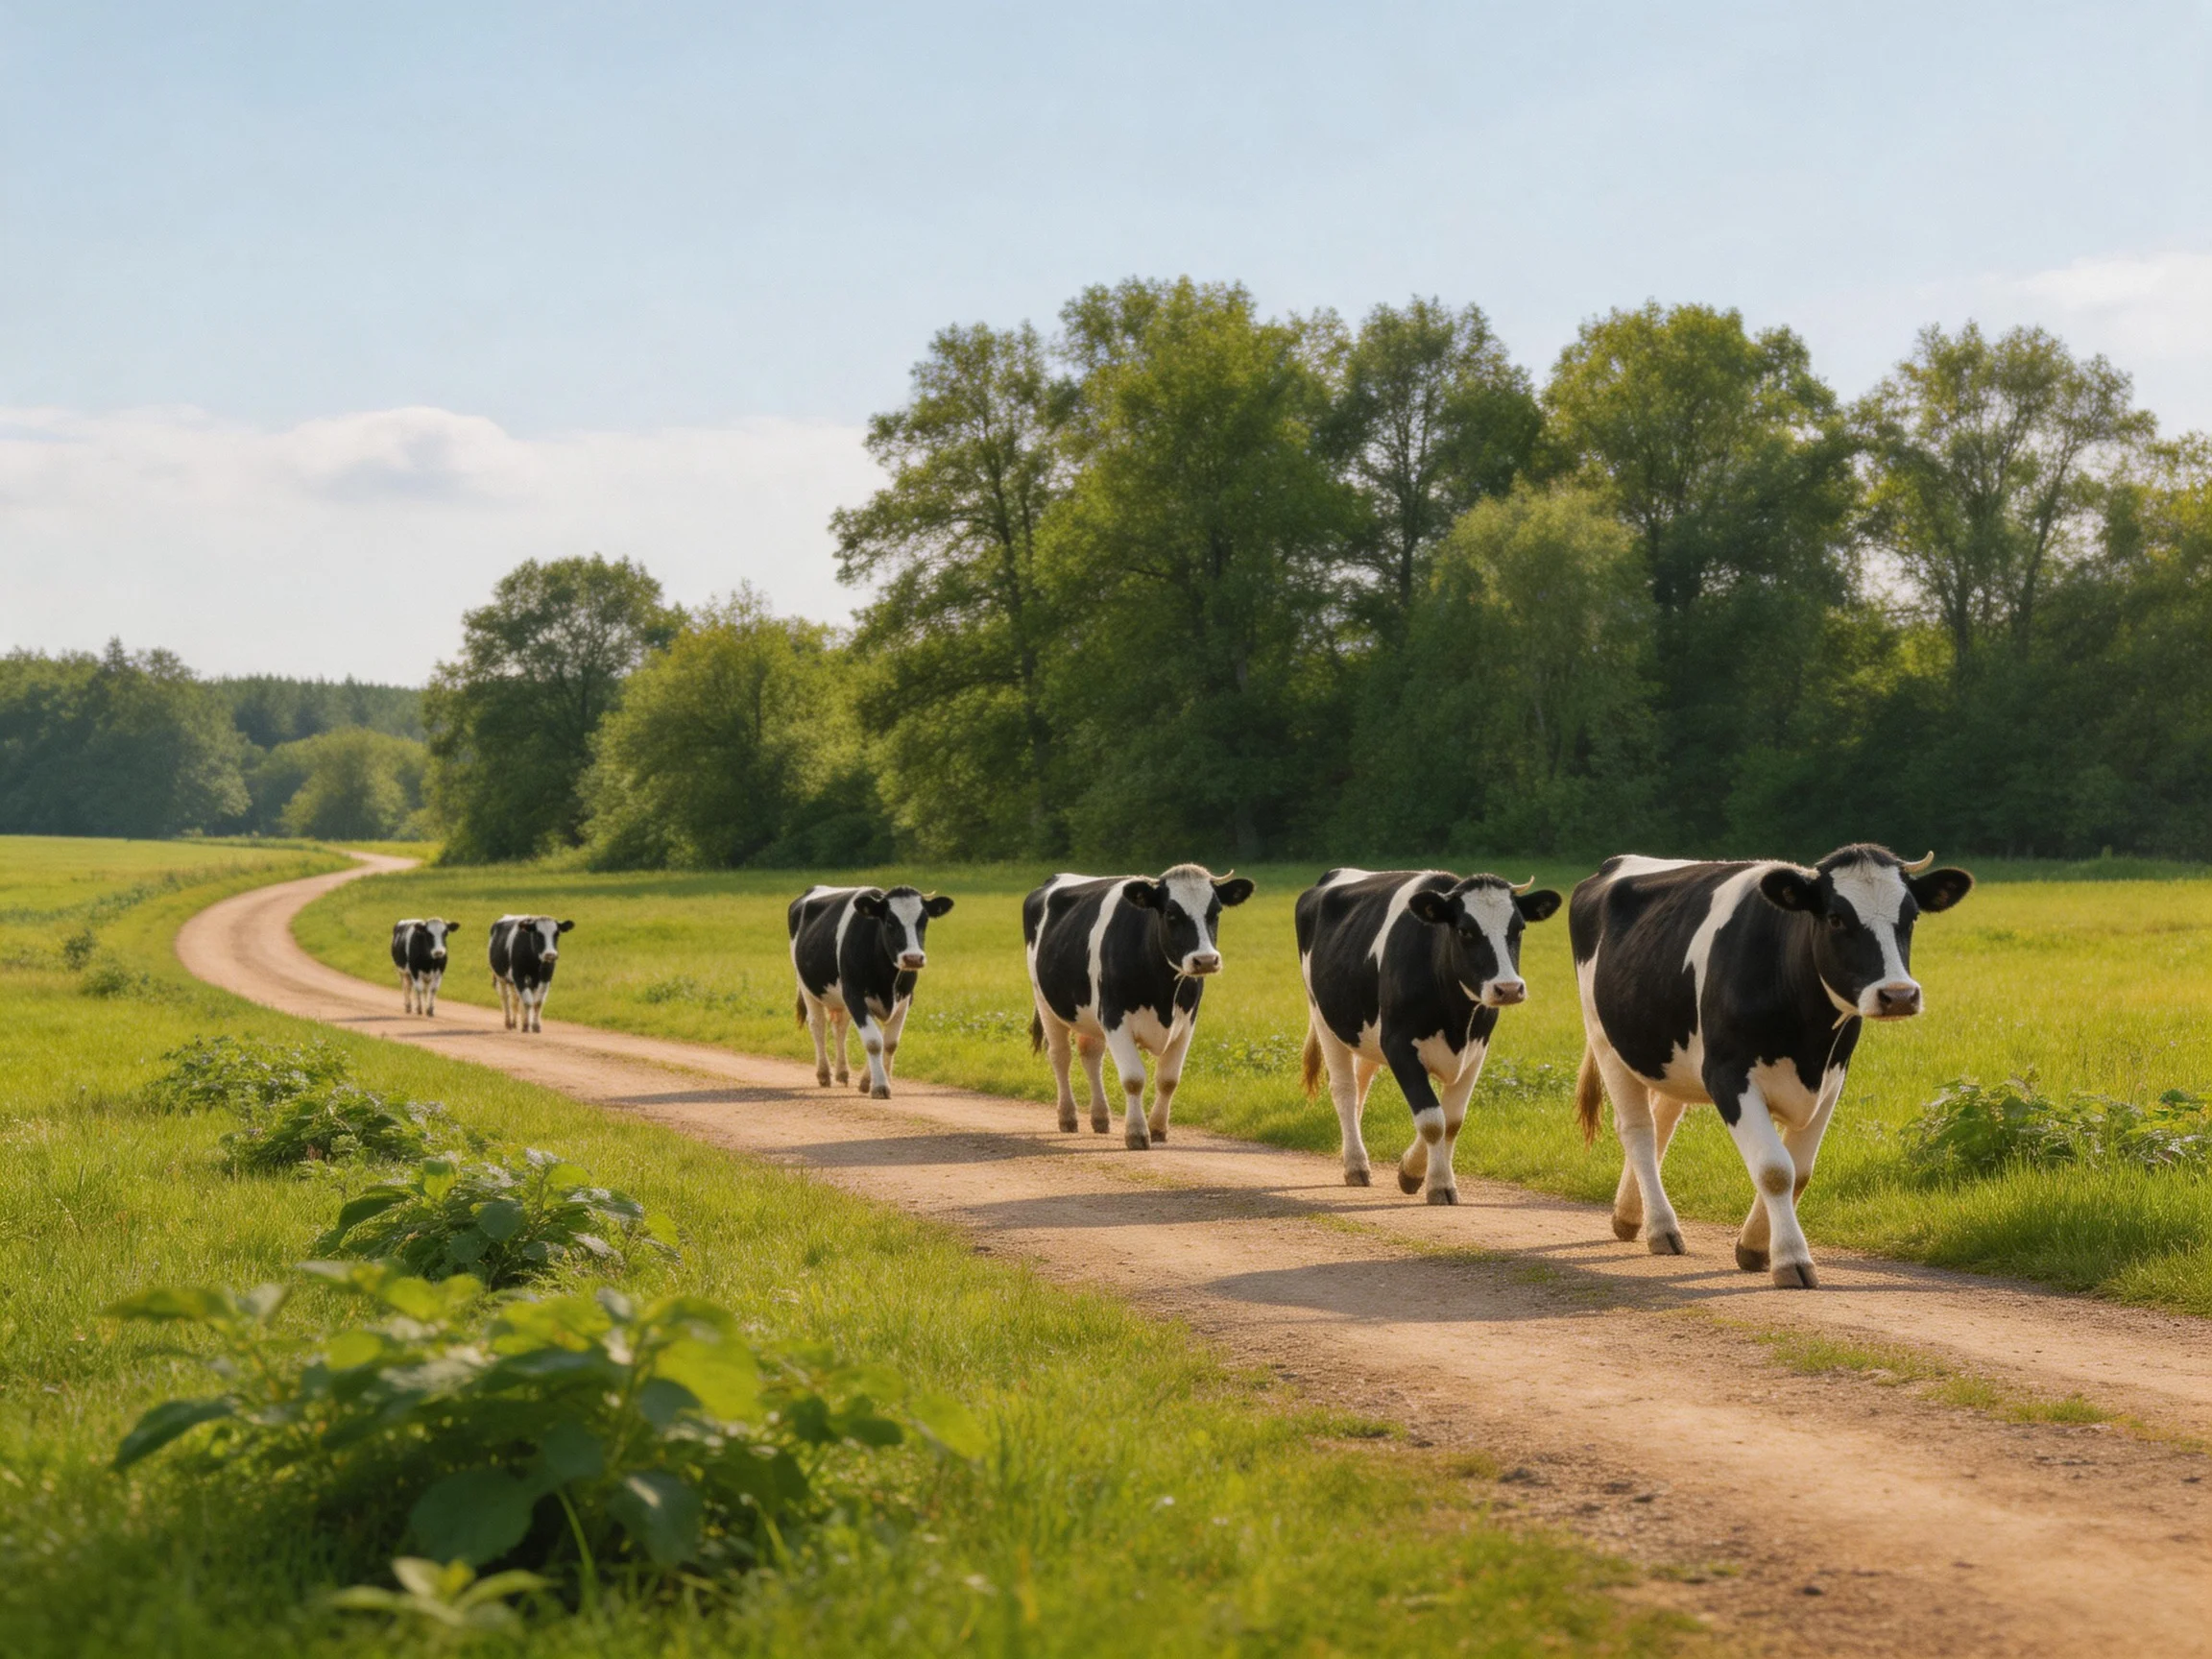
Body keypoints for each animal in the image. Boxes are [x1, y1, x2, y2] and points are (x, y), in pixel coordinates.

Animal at [788, 885, 955, 1099]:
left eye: (923, 922)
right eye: (890, 922)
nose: (913, 958)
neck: (887, 979)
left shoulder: (905, 1000)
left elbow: (890, 1043)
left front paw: (870, 1081)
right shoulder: (855, 996)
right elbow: (874, 1041)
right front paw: (880, 1086)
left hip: (841, 997)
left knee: (840, 1028)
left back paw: (842, 1072)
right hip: (807, 987)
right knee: (818, 1027)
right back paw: (824, 1074)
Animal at [1023, 865, 1255, 1149]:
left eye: (1215, 912)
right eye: (1171, 913)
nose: (1206, 960)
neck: (1163, 992)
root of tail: (1056, 878)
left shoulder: (1187, 1023)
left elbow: (1168, 1080)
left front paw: (1158, 1128)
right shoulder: (1114, 1019)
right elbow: (1133, 1079)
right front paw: (1136, 1133)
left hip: (1089, 1015)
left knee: (1091, 1056)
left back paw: (1100, 1117)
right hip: (1045, 1002)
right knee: (1060, 1057)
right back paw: (1068, 1116)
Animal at [1296, 869, 1563, 1203]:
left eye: (1519, 928)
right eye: (1465, 931)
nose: (1509, 988)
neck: (1456, 1019)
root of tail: (1332, 876)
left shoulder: (1477, 1051)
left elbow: (1452, 1120)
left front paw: (1414, 1171)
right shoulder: (1399, 1047)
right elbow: (1433, 1120)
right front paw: (1435, 1183)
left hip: (1366, 1033)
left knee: (1361, 1084)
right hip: (1323, 1018)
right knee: (1345, 1090)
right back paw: (1355, 1164)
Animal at [1570, 845, 1973, 1288]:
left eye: (1911, 916)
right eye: (1836, 918)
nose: (1899, 995)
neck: (1807, 1037)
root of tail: (1614, 864)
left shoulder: (1832, 1079)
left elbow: (1801, 1170)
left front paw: (1754, 1247)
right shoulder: (1728, 1076)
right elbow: (1775, 1169)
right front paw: (1790, 1259)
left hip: (1670, 1055)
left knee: (1661, 1124)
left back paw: (1629, 1216)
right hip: (1605, 1040)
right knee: (1639, 1132)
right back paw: (1661, 1227)